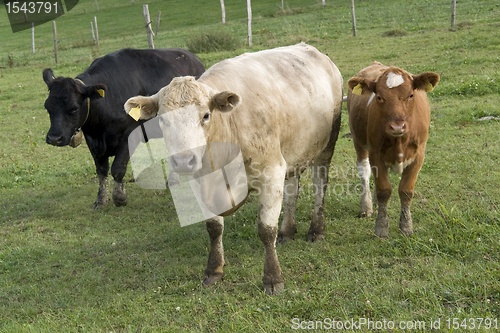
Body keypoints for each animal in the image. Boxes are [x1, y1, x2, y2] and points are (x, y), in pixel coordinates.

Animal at [43, 47, 205, 208]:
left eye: (74, 109)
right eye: (47, 107)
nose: (54, 138)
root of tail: (192, 57)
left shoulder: (128, 135)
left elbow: (117, 168)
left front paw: (119, 197)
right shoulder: (92, 141)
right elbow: (101, 170)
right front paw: (101, 199)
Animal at [125, 42, 344, 294]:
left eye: (206, 115)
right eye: (162, 120)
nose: (183, 161)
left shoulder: (271, 171)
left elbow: (266, 230)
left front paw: (273, 277)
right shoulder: (200, 182)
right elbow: (213, 228)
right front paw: (214, 270)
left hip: (327, 145)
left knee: (320, 185)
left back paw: (316, 229)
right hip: (292, 153)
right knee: (291, 190)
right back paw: (287, 231)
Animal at [346, 62, 440, 237]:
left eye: (411, 95)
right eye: (379, 97)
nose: (397, 126)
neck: (399, 140)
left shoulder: (419, 156)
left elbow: (406, 191)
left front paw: (406, 227)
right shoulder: (375, 153)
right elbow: (384, 190)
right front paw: (381, 228)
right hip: (358, 141)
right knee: (364, 171)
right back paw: (366, 207)